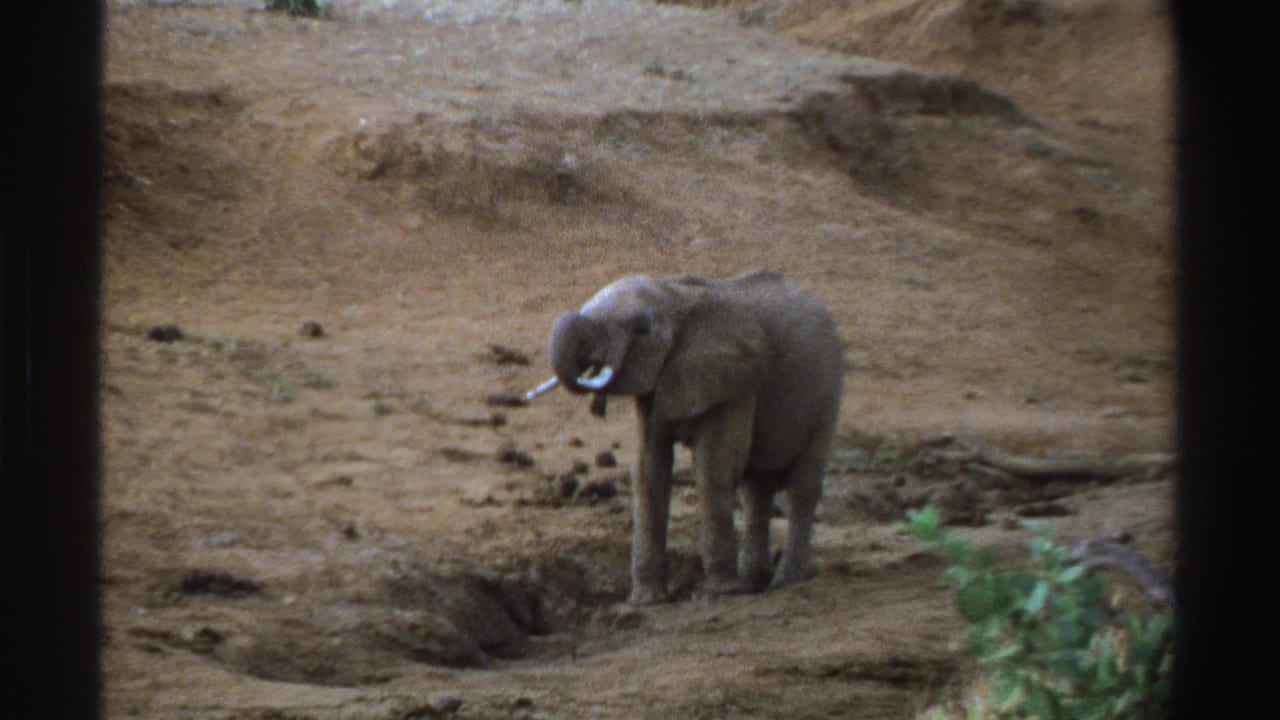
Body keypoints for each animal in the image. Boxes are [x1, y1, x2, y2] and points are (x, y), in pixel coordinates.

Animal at [534, 269, 844, 604]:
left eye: (641, 329)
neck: (675, 297)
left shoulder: (735, 380)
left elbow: (713, 469)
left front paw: (722, 592)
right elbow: (648, 471)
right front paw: (648, 600)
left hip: (828, 393)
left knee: (801, 487)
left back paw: (786, 581)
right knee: (756, 489)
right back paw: (754, 582)